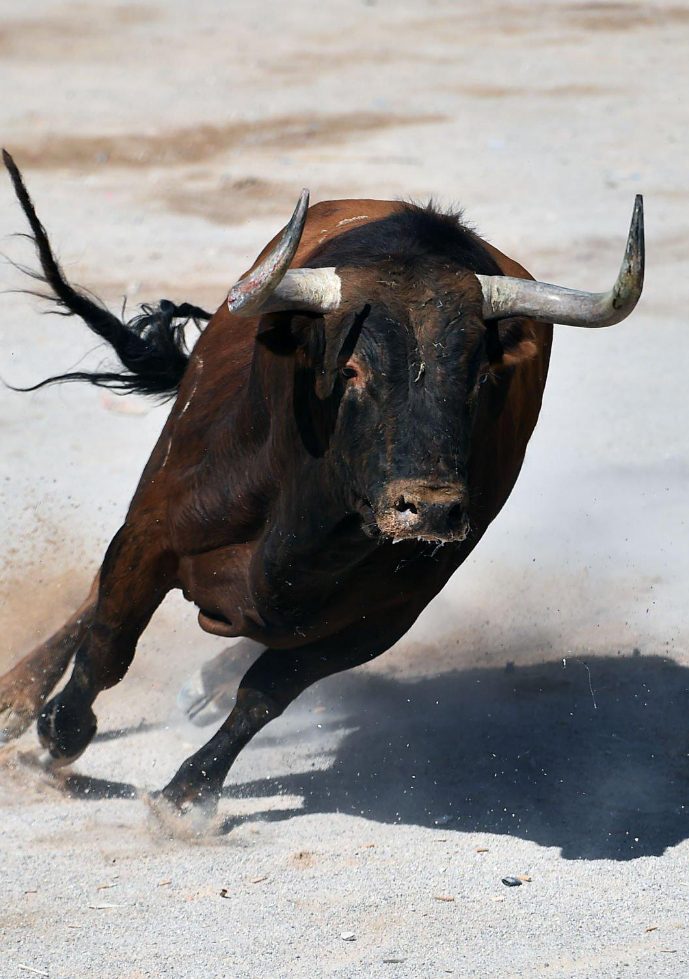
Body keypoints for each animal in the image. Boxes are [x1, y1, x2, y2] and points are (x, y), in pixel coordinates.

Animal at [0, 153, 644, 824]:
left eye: (479, 376)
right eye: (351, 368)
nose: (430, 510)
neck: (304, 524)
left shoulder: (382, 617)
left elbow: (265, 693)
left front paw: (188, 795)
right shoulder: (151, 534)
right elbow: (108, 643)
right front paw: (58, 731)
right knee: (95, 603)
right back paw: (16, 698)